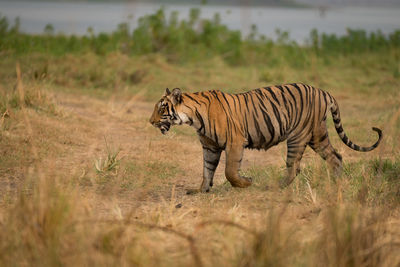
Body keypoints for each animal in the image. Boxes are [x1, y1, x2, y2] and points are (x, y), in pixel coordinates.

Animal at [148, 84, 382, 195]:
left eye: (161, 108)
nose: (150, 121)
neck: (194, 117)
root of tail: (324, 92)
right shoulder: (210, 146)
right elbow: (207, 170)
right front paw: (201, 190)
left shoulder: (235, 142)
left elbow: (230, 171)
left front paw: (247, 183)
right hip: (318, 135)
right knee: (336, 157)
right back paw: (336, 184)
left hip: (298, 136)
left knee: (294, 166)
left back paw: (275, 186)